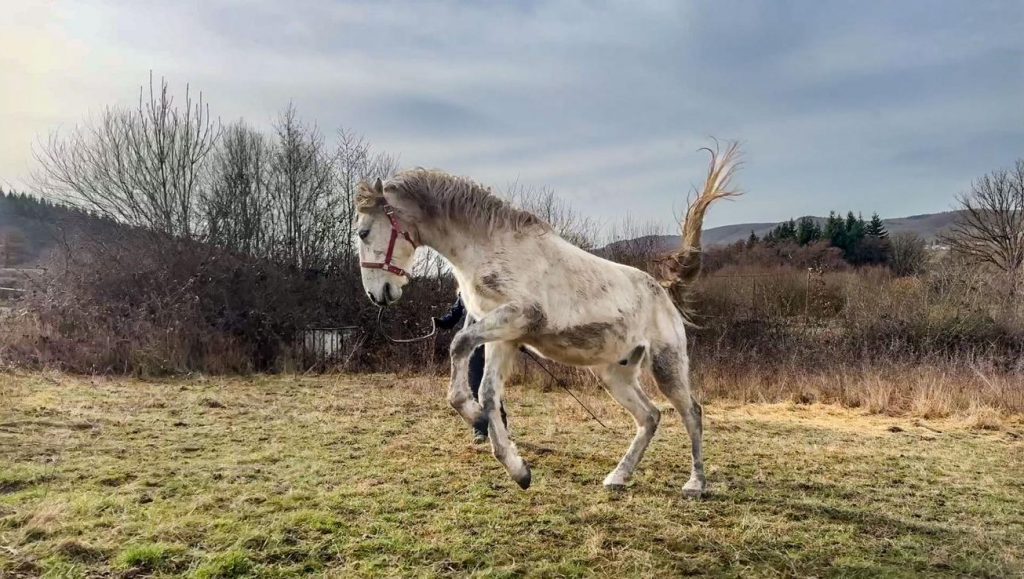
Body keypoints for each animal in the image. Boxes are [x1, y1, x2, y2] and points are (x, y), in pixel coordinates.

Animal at [356, 144, 741, 497]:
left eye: (362, 232)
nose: (378, 294)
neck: (490, 246)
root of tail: (663, 291)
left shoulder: (517, 318)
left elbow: (459, 347)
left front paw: (477, 419)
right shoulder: (503, 336)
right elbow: (488, 393)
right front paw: (518, 469)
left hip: (666, 364)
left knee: (691, 413)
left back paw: (695, 484)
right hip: (615, 373)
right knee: (650, 417)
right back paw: (618, 477)